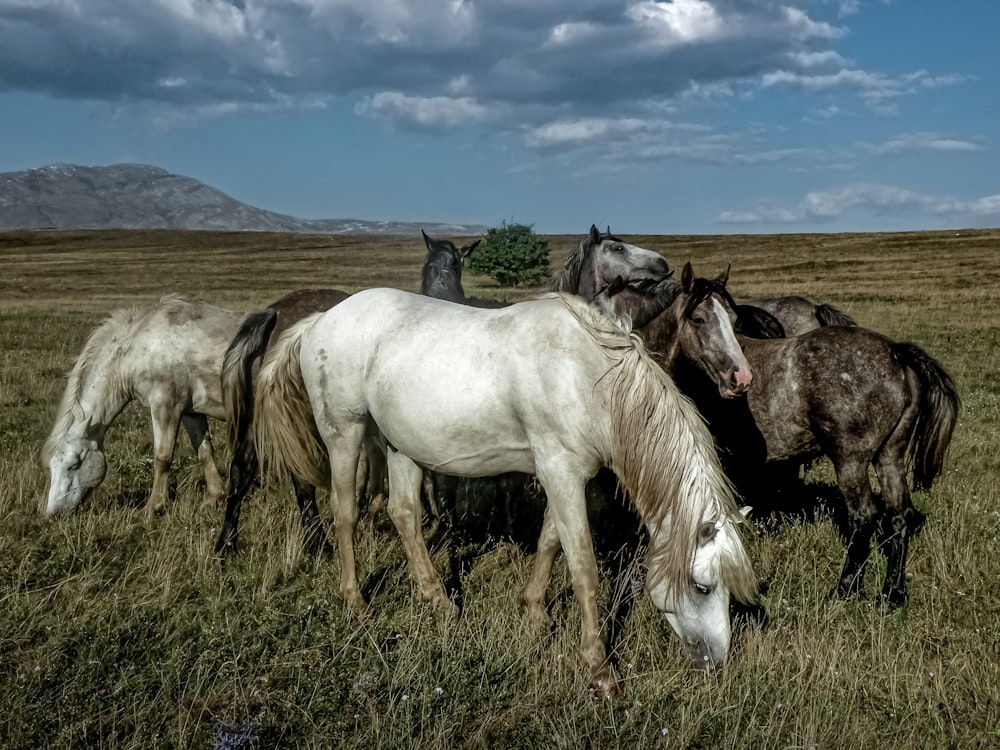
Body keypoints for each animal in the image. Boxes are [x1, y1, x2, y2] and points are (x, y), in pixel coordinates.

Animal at [42, 296, 246, 520]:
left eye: (74, 465)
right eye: (52, 467)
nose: (53, 513)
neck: (140, 345)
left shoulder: (165, 406)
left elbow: (162, 458)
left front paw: (152, 508)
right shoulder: (191, 412)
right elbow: (204, 451)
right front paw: (213, 498)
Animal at [254, 290, 752, 692]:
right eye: (703, 587)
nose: (718, 662)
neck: (587, 376)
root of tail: (321, 319)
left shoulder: (563, 475)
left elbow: (551, 542)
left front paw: (534, 613)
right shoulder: (561, 474)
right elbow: (584, 570)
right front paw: (599, 670)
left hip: (401, 445)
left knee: (404, 515)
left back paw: (440, 603)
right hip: (344, 434)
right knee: (345, 514)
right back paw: (358, 604)